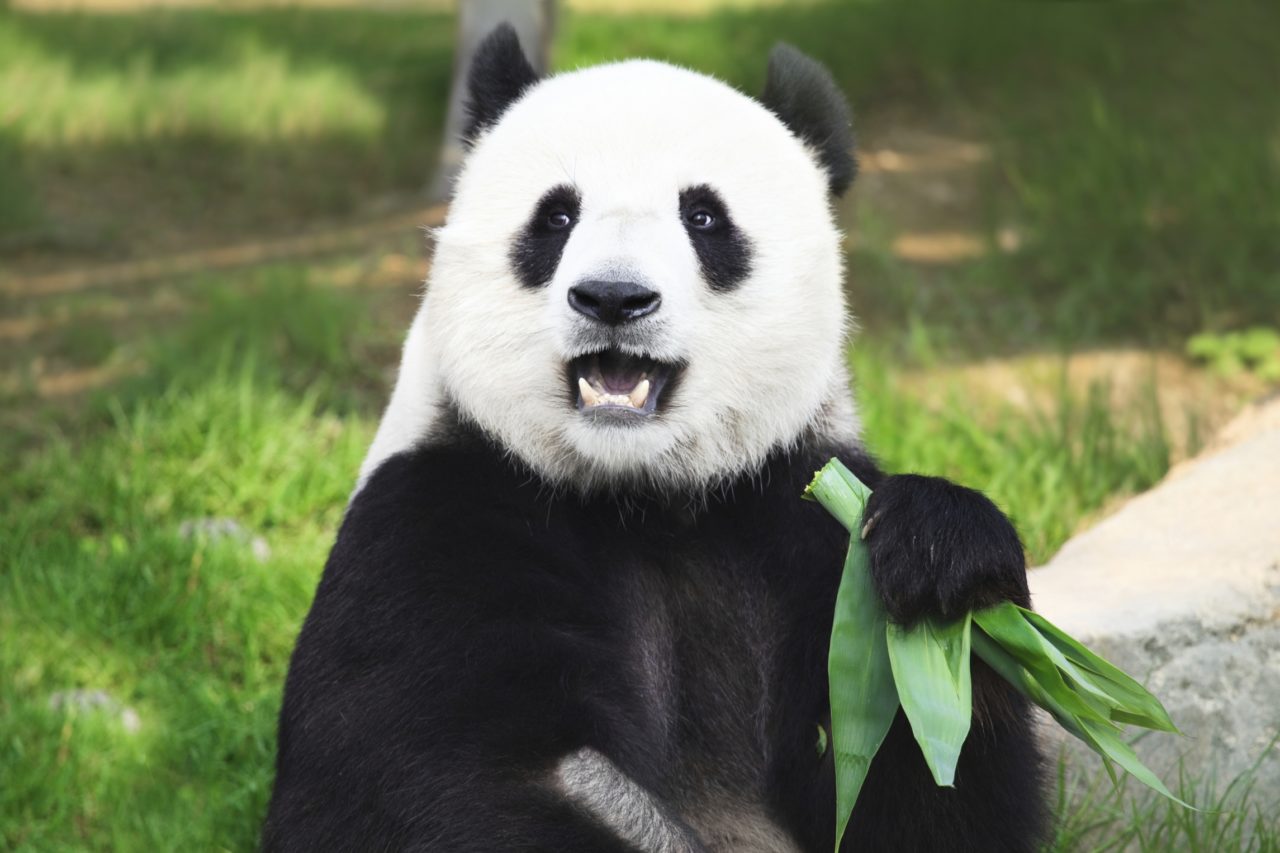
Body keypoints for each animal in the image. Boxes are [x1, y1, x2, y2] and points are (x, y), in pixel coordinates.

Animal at [262, 25, 1047, 853]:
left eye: (703, 218)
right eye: (556, 218)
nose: (614, 298)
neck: (642, 493)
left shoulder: (798, 519)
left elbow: (927, 779)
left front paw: (940, 551)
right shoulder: (439, 521)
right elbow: (414, 784)